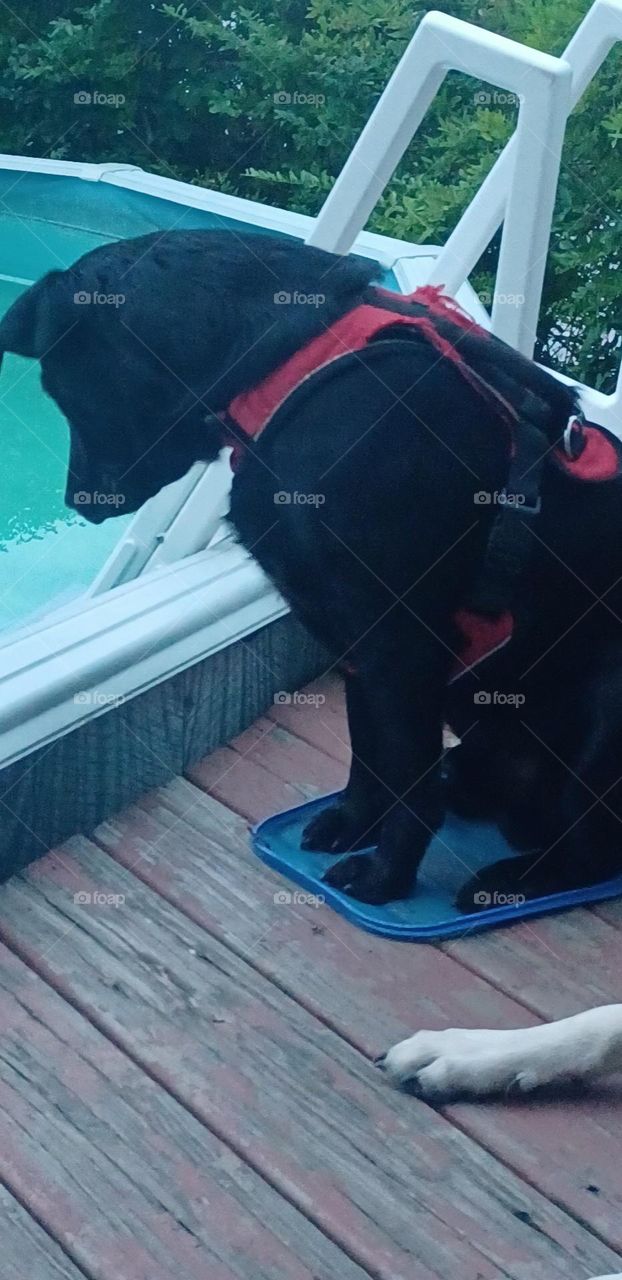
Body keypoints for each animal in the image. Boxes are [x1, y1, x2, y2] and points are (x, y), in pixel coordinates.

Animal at [1, 230, 622, 911]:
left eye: (57, 389)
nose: (77, 500)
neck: (288, 359)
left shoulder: (398, 642)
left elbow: (408, 780)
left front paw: (384, 878)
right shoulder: (352, 640)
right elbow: (371, 752)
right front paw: (352, 823)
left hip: (602, 721)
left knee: (590, 852)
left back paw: (508, 878)